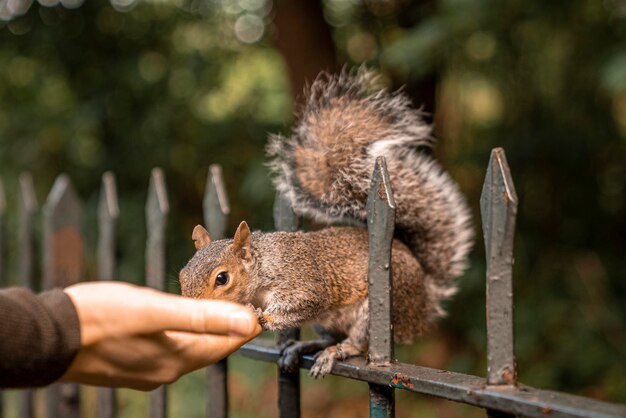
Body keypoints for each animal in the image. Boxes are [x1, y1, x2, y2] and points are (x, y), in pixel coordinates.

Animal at [179, 69, 472, 378]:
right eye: (182, 275)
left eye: (222, 278)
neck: (263, 267)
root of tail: (424, 301)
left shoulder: (302, 282)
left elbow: (305, 303)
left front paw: (264, 317)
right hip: (329, 321)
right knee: (331, 336)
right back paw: (305, 346)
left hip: (380, 307)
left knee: (357, 344)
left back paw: (336, 351)